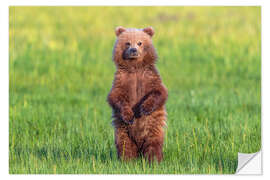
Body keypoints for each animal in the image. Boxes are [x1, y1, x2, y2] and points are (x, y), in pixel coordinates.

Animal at [107, 26, 167, 163]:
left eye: (140, 42)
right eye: (127, 43)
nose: (133, 50)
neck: (135, 68)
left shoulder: (149, 77)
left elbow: (158, 92)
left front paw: (145, 108)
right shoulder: (122, 79)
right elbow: (116, 97)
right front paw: (129, 115)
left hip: (152, 127)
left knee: (153, 143)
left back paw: (153, 160)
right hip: (122, 130)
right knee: (124, 144)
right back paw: (127, 161)